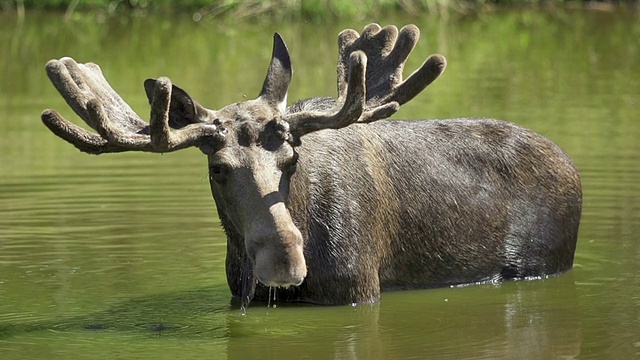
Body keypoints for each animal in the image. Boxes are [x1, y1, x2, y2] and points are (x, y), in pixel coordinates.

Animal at [40, 23, 580, 306]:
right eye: (217, 168)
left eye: (291, 157)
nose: (285, 261)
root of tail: (571, 164)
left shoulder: (358, 289)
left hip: (546, 263)